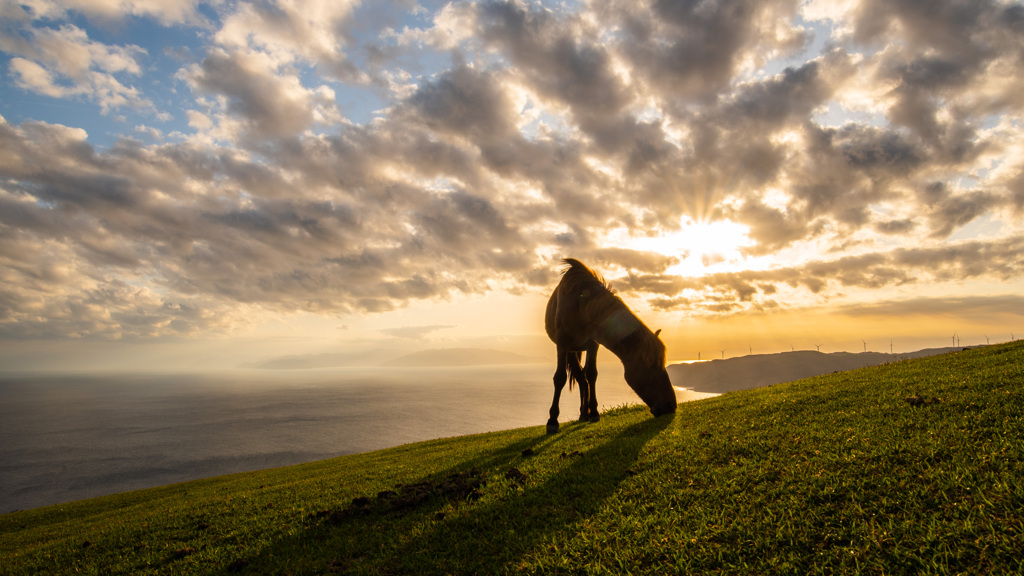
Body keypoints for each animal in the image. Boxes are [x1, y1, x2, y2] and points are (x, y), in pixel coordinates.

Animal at [540, 256, 675, 430]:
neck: (582, 303)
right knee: (579, 377)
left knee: (583, 378)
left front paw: (594, 412)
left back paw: (584, 414)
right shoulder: (563, 344)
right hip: (571, 351)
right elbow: (560, 378)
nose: (671, 405)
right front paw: (552, 420)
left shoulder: (592, 344)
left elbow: (591, 374)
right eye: (652, 365)